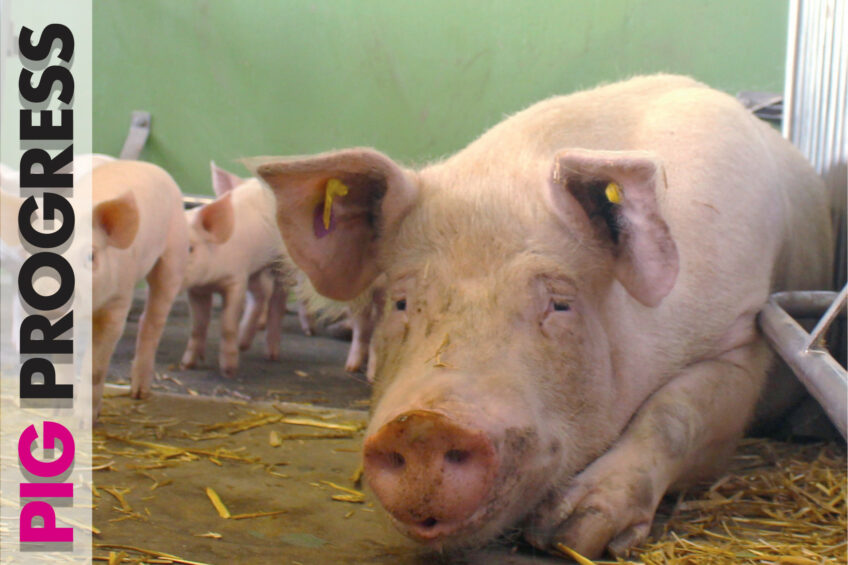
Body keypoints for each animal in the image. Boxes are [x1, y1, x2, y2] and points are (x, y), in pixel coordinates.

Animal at [90, 160, 189, 419]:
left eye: (90, 255)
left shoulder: (119, 298)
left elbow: (96, 368)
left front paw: (91, 419)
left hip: (173, 256)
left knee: (152, 321)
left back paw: (140, 394)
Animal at [250, 75, 832, 558]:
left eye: (559, 304)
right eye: (401, 302)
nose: (423, 427)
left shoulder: (743, 331)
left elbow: (673, 414)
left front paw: (568, 535)